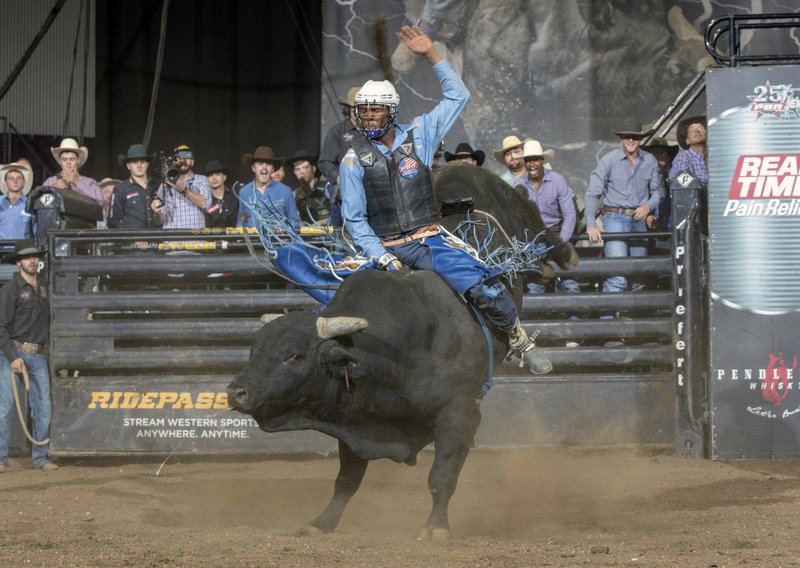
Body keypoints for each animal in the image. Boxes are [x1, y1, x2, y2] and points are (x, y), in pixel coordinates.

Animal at [228, 162, 580, 540]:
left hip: (515, 208)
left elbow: (441, 477)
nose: (235, 392)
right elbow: (347, 481)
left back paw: (560, 264)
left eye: (293, 356)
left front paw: (436, 528)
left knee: (537, 224)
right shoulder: (354, 419)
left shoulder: (461, 415)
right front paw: (321, 523)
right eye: (254, 351)